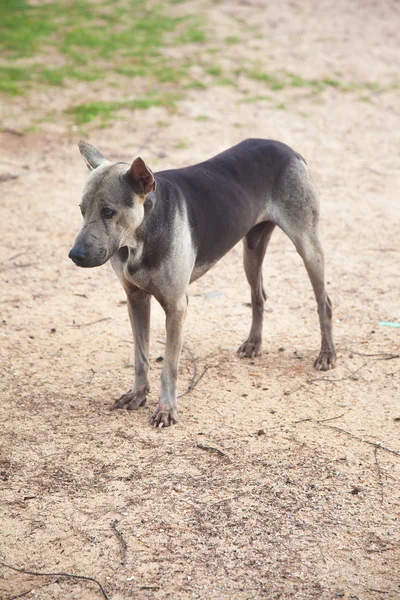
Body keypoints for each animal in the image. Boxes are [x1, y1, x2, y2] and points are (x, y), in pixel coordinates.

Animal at [69, 139, 334, 426]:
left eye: (108, 212)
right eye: (82, 210)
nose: (75, 255)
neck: (140, 236)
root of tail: (286, 148)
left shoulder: (176, 307)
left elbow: (169, 367)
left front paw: (166, 409)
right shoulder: (136, 299)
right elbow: (140, 356)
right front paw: (138, 395)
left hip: (308, 247)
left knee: (324, 302)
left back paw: (327, 353)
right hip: (251, 250)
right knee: (258, 296)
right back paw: (254, 342)